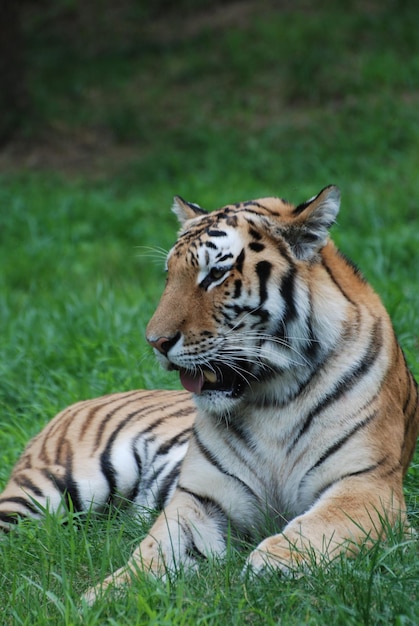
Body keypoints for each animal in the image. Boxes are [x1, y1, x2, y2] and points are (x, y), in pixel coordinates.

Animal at [0, 183, 419, 604]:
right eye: (169, 275)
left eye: (216, 274)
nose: (155, 342)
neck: (274, 397)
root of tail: (69, 406)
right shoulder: (201, 499)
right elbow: (152, 552)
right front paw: (98, 599)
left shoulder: (369, 487)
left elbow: (319, 526)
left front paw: (268, 565)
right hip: (49, 491)